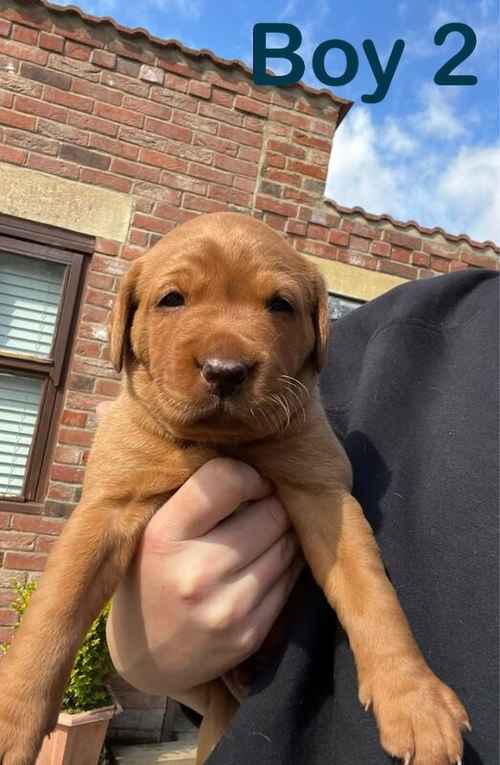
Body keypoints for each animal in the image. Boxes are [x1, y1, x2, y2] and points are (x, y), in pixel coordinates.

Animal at [0, 210, 468, 764]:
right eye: (172, 299)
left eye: (281, 305)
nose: (226, 371)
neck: (220, 444)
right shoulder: (105, 510)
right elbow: (53, 616)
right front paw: (11, 720)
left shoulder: (326, 496)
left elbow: (374, 595)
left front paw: (414, 698)